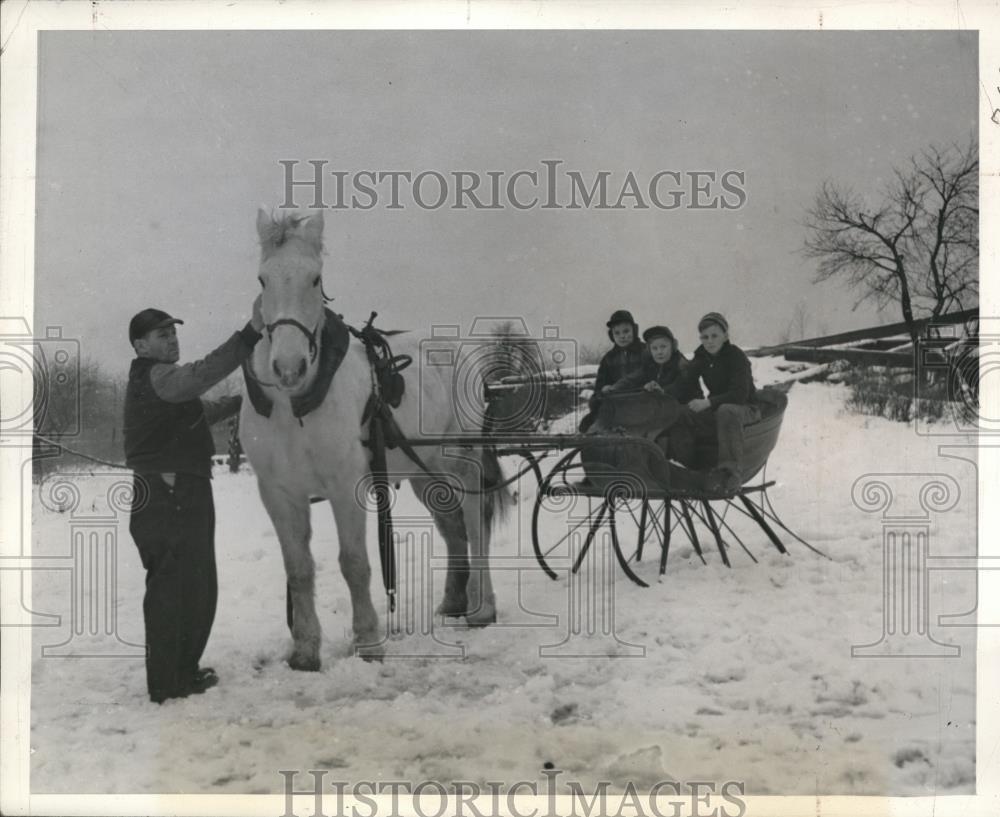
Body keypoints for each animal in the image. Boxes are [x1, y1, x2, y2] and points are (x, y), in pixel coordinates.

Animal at [239, 207, 504, 668]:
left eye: (315, 279)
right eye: (262, 279)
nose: (288, 367)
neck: (293, 406)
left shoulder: (346, 485)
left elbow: (355, 563)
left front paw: (367, 641)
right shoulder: (277, 492)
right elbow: (298, 569)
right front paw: (305, 650)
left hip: (463, 461)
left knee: (474, 524)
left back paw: (480, 607)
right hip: (425, 473)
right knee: (454, 530)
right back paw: (453, 602)